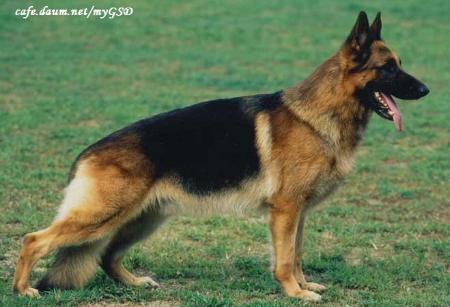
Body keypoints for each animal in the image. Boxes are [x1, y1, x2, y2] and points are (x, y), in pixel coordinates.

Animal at [13, 11, 428, 300]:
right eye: (388, 68)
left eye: (400, 65)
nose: (426, 90)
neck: (318, 114)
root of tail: (86, 155)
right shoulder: (286, 210)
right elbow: (284, 259)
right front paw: (295, 292)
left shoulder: (299, 213)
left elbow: (296, 254)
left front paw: (304, 285)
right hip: (103, 217)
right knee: (34, 239)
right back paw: (23, 290)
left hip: (142, 219)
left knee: (107, 256)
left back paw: (135, 282)